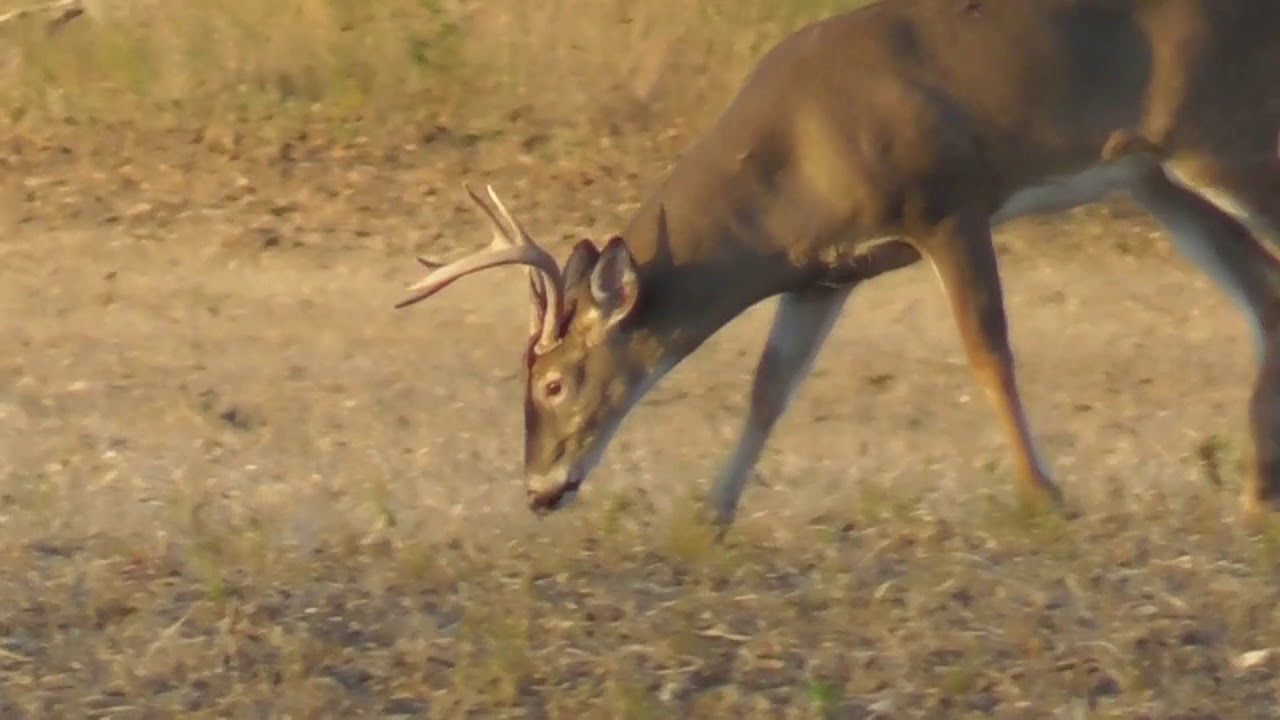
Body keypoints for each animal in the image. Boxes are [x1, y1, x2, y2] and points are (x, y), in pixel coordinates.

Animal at [395, 0, 1280, 533]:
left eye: (551, 383)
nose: (538, 490)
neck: (796, 155)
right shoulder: (824, 273)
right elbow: (769, 389)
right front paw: (712, 516)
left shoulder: (945, 204)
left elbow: (988, 351)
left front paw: (1045, 497)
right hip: (1159, 179)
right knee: (1262, 299)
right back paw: (1255, 492)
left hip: (1226, 139)